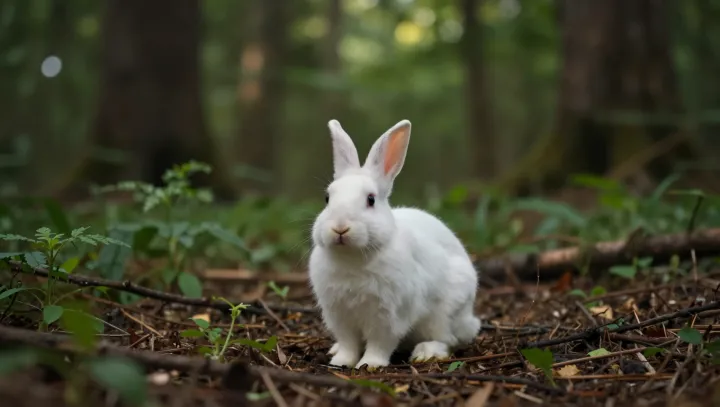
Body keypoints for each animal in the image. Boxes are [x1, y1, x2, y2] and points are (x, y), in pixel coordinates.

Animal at [308, 119, 481, 370]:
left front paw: (369, 364)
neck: (353, 257)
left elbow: (380, 342)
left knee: (447, 340)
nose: (340, 227)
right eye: (327, 198)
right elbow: (349, 342)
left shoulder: (389, 315)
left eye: (371, 199)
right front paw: (341, 362)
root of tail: (470, 320)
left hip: (445, 314)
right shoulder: (339, 315)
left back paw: (426, 353)